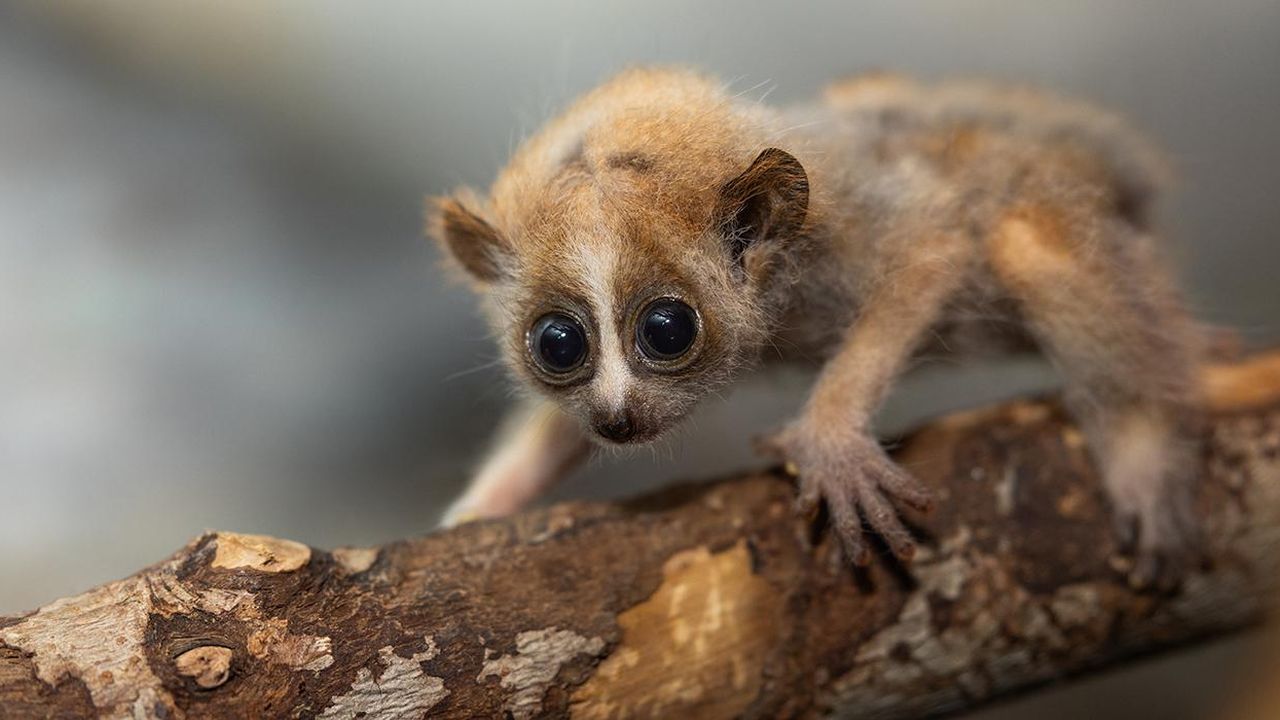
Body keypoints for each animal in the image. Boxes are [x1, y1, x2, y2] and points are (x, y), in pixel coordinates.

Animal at [428, 67, 1205, 589]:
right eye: (558, 344)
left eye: (668, 329)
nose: (618, 418)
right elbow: (556, 430)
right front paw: (477, 510)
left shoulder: (849, 223)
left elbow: (932, 247)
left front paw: (831, 445)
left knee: (1026, 243)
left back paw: (1142, 441)